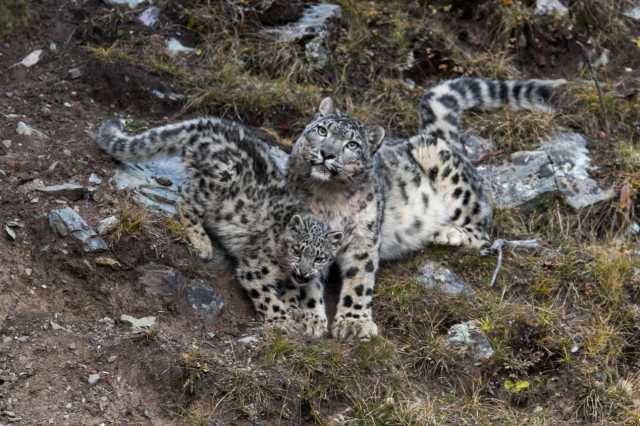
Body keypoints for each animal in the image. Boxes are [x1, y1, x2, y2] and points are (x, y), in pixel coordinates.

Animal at [94, 117, 348, 336]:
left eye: (320, 257)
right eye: (297, 250)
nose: (304, 272)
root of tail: (206, 123)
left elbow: (291, 293)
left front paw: (294, 309)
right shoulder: (254, 267)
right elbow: (268, 297)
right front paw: (283, 320)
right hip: (217, 180)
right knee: (185, 200)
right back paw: (202, 243)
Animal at [286, 77, 564, 340]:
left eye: (352, 145)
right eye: (322, 130)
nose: (326, 153)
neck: (330, 197)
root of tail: (441, 138)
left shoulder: (363, 238)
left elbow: (359, 281)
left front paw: (354, 324)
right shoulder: (307, 235)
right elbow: (308, 280)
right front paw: (310, 319)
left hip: (445, 171)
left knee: (482, 230)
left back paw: (447, 233)